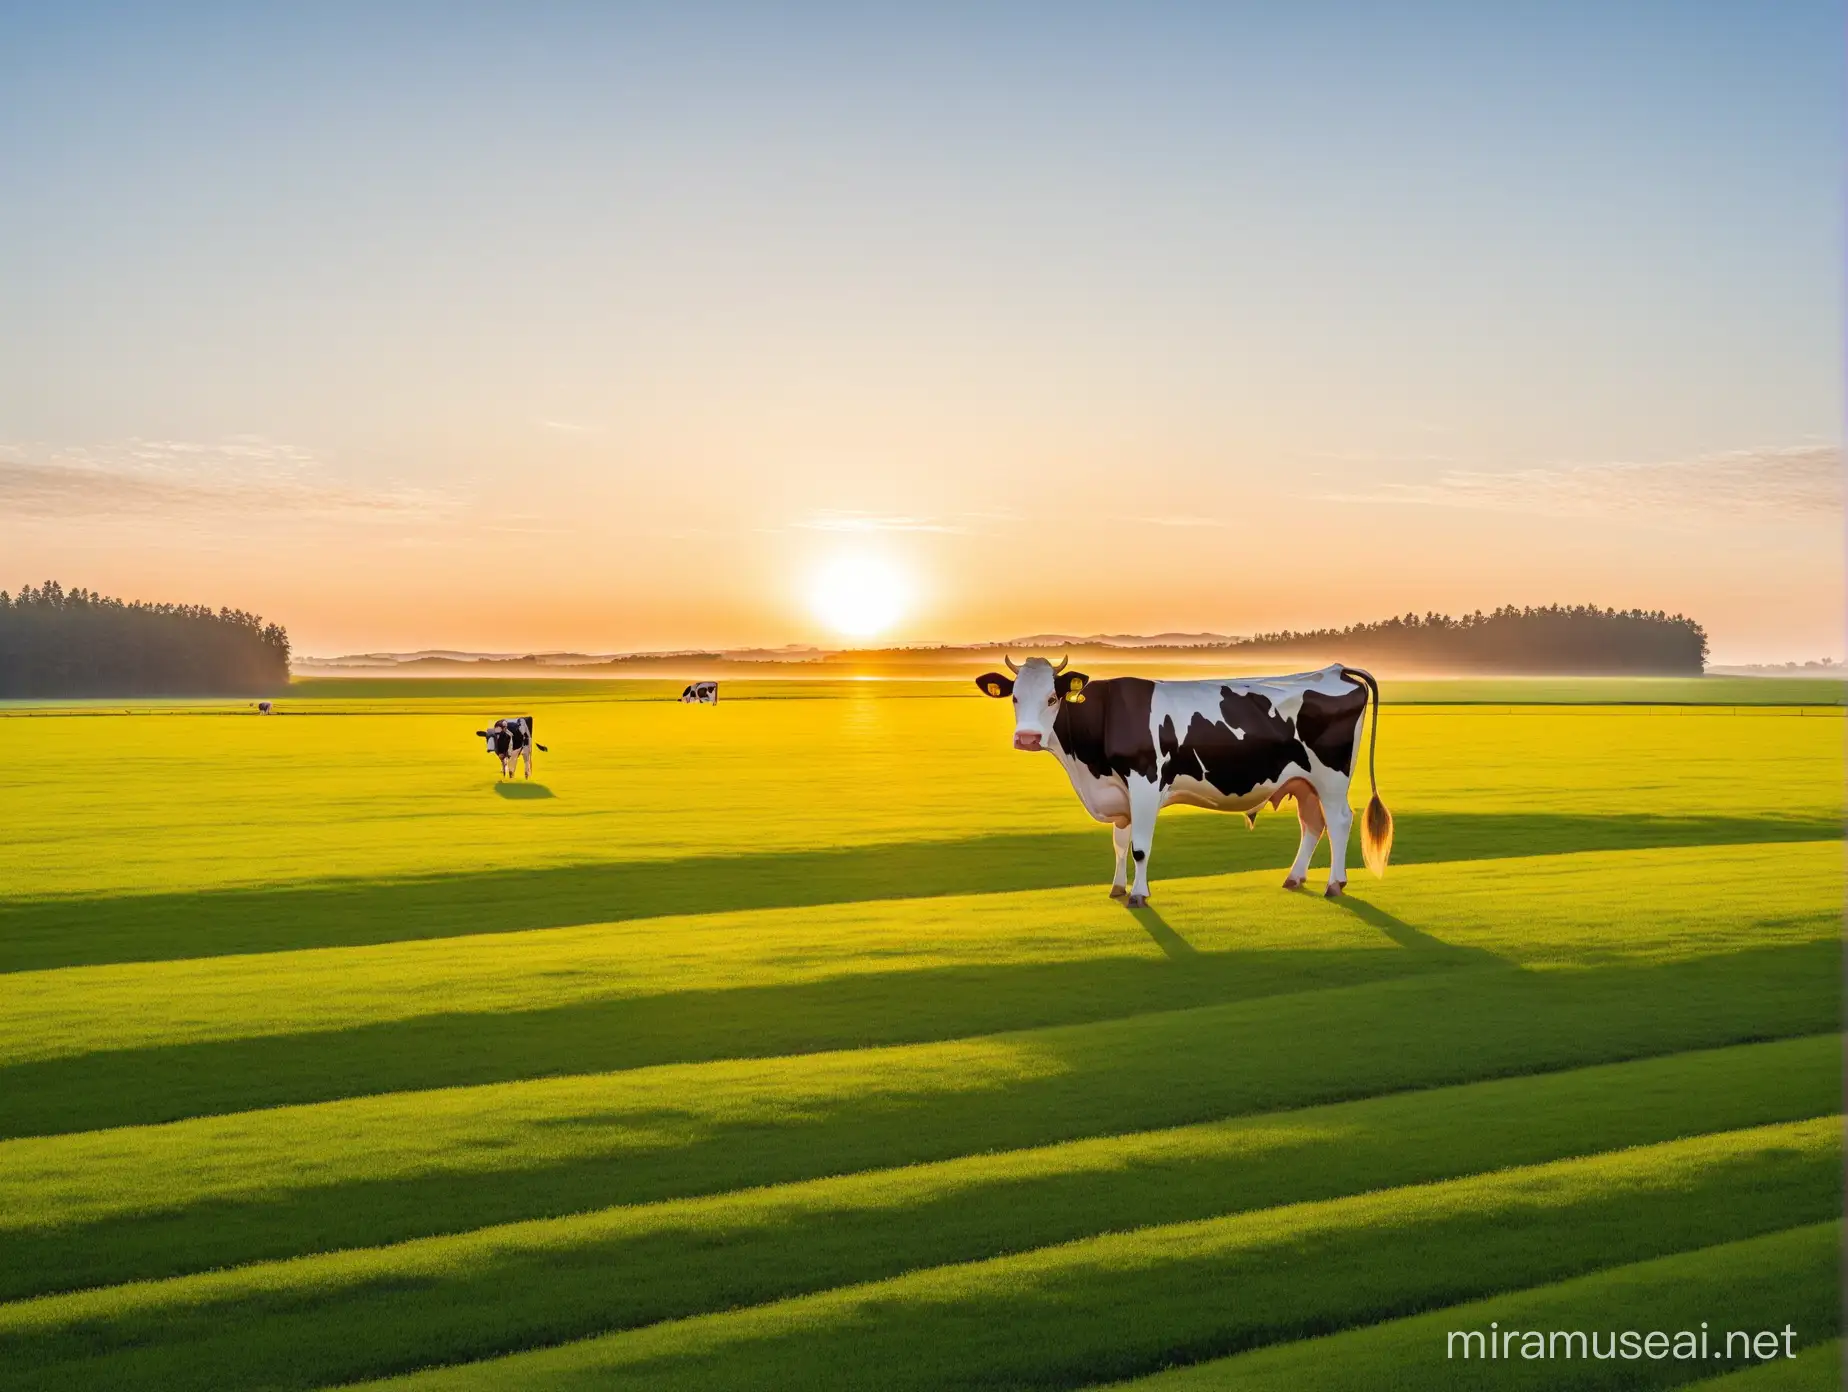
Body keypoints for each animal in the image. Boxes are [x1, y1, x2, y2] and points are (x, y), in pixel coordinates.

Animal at [983, 658, 1389, 905]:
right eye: (1014, 697)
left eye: (1052, 698)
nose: (1027, 738)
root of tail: (1336, 670)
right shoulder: (1119, 793)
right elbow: (1119, 844)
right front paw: (1117, 888)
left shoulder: (1144, 782)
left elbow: (1139, 847)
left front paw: (1139, 895)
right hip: (1303, 783)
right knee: (1313, 824)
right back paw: (1295, 877)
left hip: (1332, 777)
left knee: (1339, 821)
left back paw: (1335, 884)